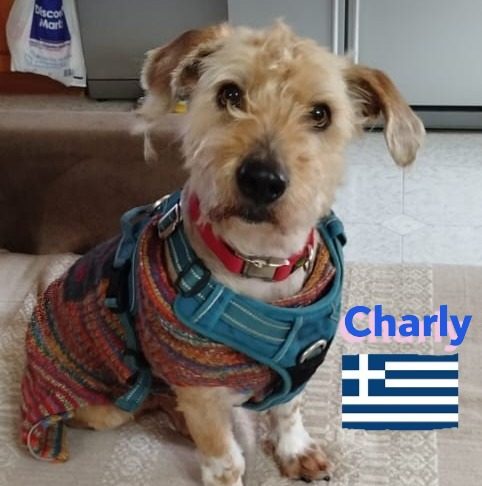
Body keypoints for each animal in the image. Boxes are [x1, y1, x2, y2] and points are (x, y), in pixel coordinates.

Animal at [21, 22, 424, 486]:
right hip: (105, 407)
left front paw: (295, 450)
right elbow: (226, 460)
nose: (262, 179)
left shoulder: (299, 367)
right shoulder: (202, 393)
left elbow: (288, 412)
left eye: (321, 113)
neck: (259, 262)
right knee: (143, 402)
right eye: (230, 93)